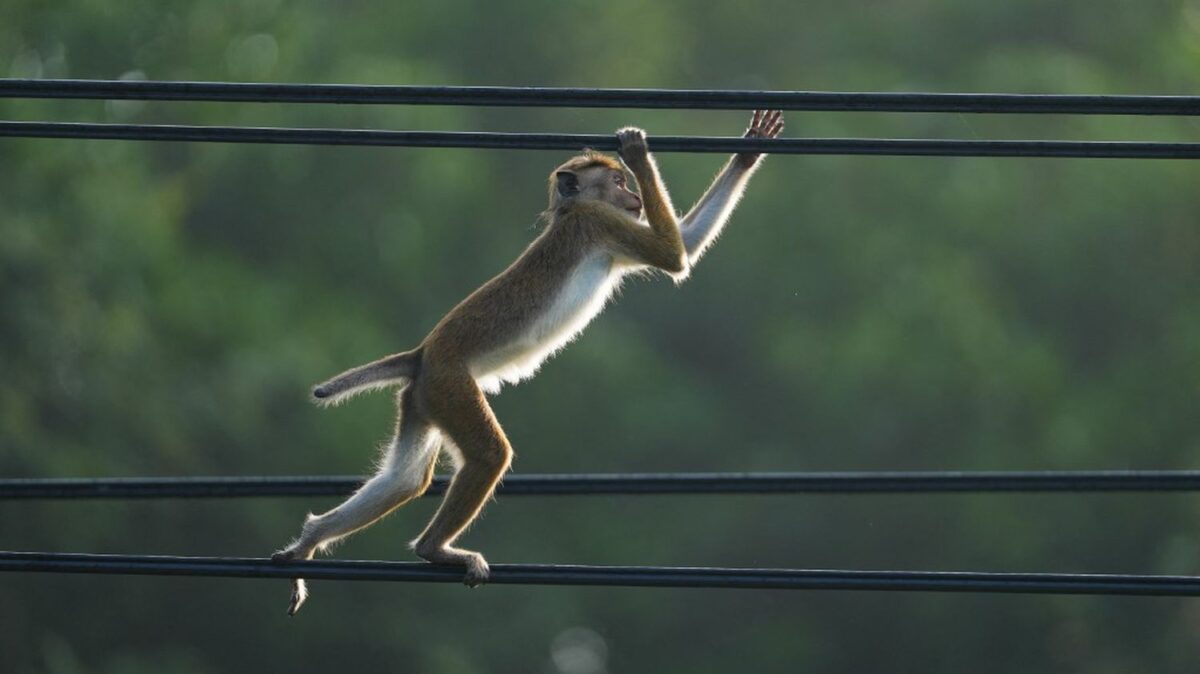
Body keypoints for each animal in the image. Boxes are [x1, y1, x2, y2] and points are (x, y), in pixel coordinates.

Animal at [272, 110, 785, 615]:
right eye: (618, 182)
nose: (636, 196)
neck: (570, 212)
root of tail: (423, 353)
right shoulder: (599, 222)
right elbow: (674, 256)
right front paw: (639, 152)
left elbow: (687, 243)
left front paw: (747, 152)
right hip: (451, 384)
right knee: (487, 454)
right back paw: (432, 549)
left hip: (424, 396)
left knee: (404, 480)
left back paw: (311, 540)